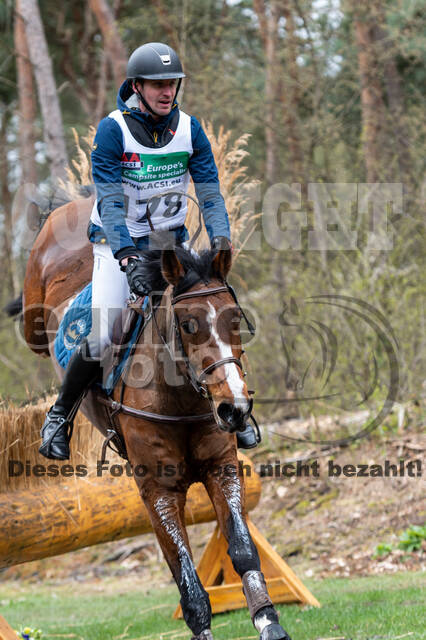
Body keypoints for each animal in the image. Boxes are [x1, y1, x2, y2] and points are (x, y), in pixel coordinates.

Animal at [15, 199, 292, 640]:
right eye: (188, 324)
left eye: (236, 319)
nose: (234, 410)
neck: (180, 398)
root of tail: (75, 204)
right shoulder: (157, 492)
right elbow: (187, 580)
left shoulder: (222, 469)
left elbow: (243, 550)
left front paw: (269, 622)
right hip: (33, 321)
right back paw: (55, 429)